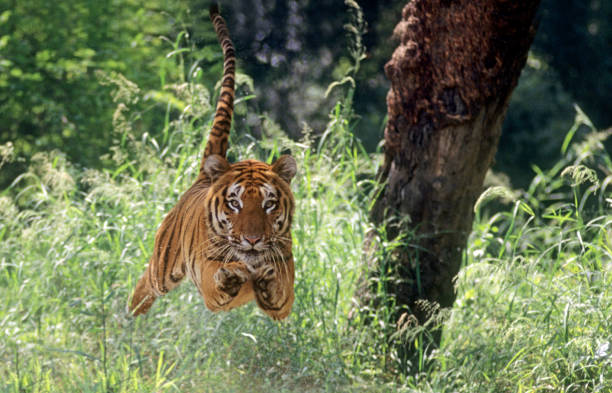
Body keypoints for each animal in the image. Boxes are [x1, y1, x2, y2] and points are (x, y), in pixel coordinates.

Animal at [130, 4, 298, 320]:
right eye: (235, 203)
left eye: (269, 204)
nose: (253, 240)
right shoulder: (208, 279)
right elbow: (221, 281)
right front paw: (232, 276)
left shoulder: (285, 284)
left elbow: (279, 290)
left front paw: (265, 278)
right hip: (162, 268)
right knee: (144, 286)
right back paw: (129, 318)